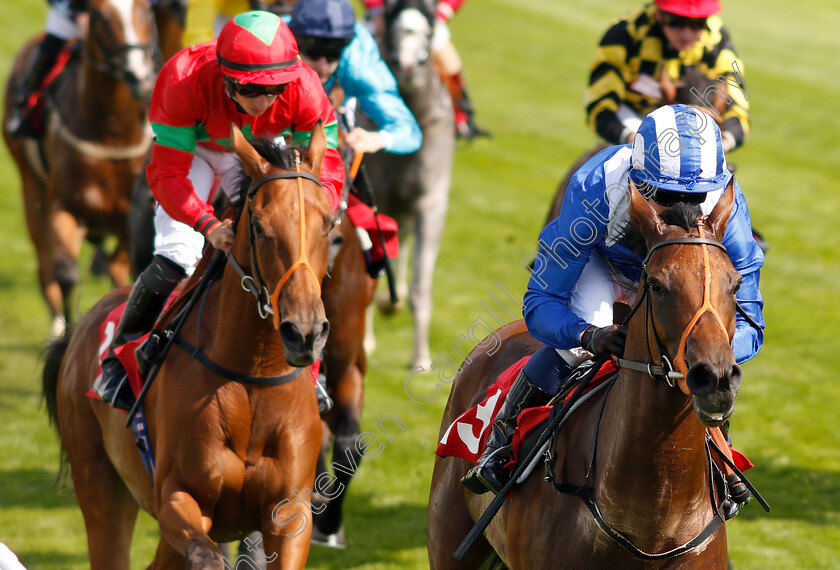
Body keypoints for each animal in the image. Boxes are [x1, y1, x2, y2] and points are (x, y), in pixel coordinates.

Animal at [2, 0, 158, 338]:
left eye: (145, 9)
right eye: (99, 16)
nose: (139, 76)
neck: (113, 134)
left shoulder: (130, 218)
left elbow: (120, 268)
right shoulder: (64, 205)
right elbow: (67, 272)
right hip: (30, 186)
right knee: (45, 264)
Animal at [41, 126, 332, 564]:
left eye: (329, 224)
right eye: (259, 227)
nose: (305, 331)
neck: (253, 371)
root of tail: (81, 327)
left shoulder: (289, 513)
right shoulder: (179, 498)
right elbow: (206, 555)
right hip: (100, 486)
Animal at [364, 0, 456, 366]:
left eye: (427, 28)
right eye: (393, 22)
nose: (405, 66)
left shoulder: (431, 204)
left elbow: (421, 284)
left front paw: (420, 357)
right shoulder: (379, 198)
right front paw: (367, 340)